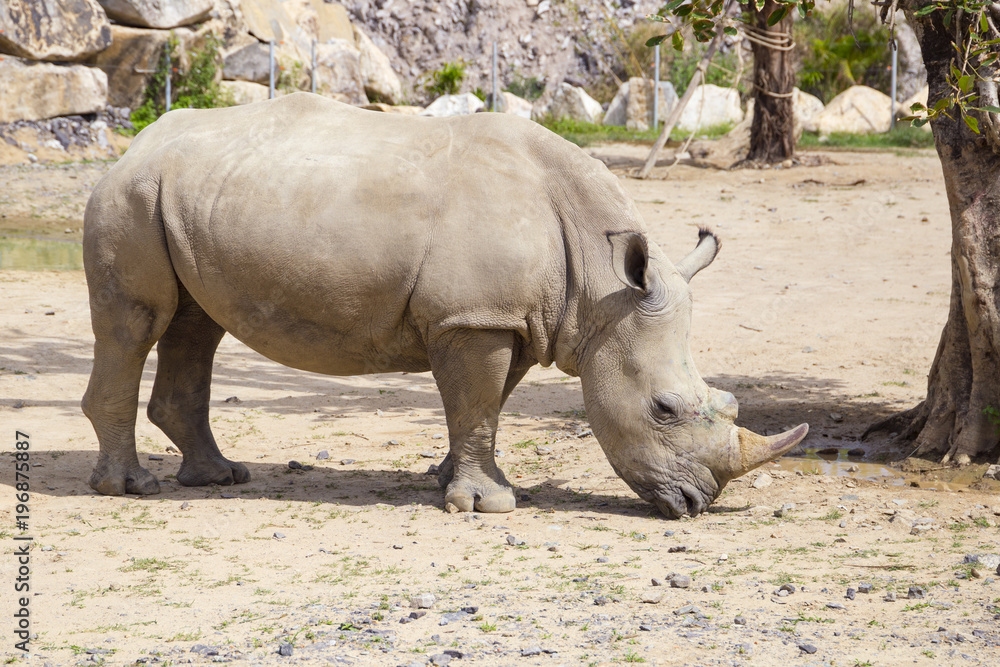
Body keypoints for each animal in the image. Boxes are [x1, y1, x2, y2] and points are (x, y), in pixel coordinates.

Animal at [81, 93, 807, 518]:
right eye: (663, 409)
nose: (696, 502)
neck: (600, 287)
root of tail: (136, 143)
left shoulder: (504, 316)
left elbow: (486, 405)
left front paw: (448, 480)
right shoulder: (475, 317)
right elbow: (478, 404)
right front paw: (487, 506)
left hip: (184, 198)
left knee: (195, 324)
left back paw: (218, 478)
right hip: (131, 195)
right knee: (137, 324)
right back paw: (132, 489)